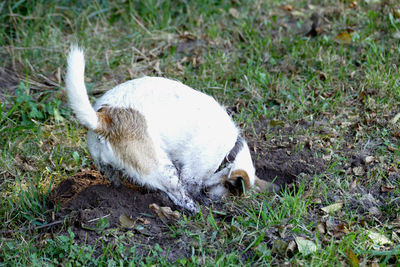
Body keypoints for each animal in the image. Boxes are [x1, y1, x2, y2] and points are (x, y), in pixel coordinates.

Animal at [66, 46, 278, 214]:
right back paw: (196, 211)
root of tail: (104, 119)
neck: (228, 154)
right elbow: (192, 189)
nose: (220, 202)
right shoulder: (192, 174)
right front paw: (204, 202)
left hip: (108, 168)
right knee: (180, 197)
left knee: (116, 182)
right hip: (163, 169)